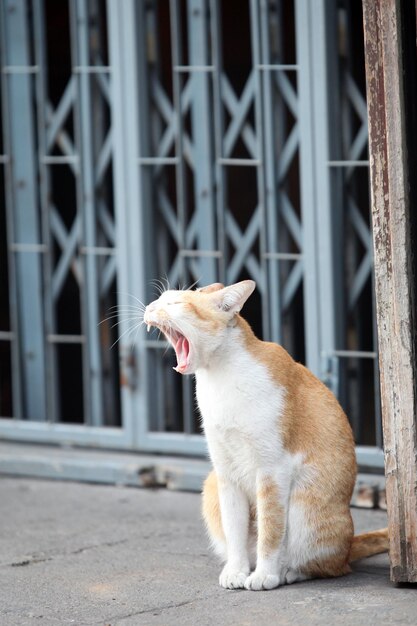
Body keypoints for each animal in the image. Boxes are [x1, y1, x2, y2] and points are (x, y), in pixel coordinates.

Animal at [145, 280, 388, 588]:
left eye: (175, 303)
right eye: (158, 300)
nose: (149, 308)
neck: (219, 376)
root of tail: (348, 546)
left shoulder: (272, 471)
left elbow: (270, 531)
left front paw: (264, 575)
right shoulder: (226, 474)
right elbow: (235, 530)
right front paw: (237, 571)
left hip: (304, 508)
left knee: (329, 566)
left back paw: (287, 573)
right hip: (211, 486)